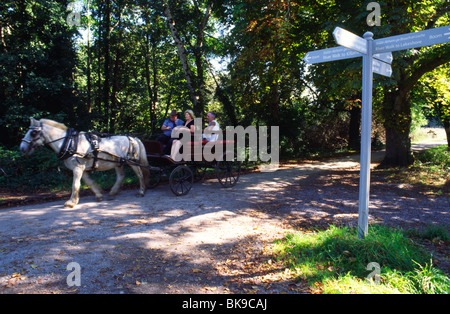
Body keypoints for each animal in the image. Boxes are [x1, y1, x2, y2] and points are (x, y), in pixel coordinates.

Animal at [19, 117, 150, 206]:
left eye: (33, 132)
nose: (22, 148)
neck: (70, 143)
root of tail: (132, 138)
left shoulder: (78, 167)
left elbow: (75, 184)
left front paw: (71, 202)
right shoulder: (82, 168)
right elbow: (89, 182)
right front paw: (99, 194)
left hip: (132, 161)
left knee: (140, 174)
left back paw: (141, 191)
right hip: (118, 162)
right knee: (121, 176)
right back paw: (113, 193)